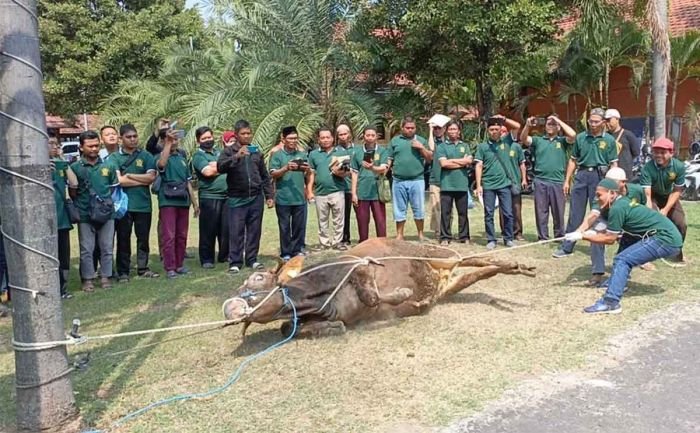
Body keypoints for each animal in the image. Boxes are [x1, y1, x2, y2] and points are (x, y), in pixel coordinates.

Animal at [224, 236, 536, 338]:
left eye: (258, 278)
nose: (229, 306)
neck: (315, 300)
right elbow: (286, 327)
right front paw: (330, 328)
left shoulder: (358, 265)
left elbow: (372, 296)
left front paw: (403, 295)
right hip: (449, 284)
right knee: (482, 272)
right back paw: (513, 267)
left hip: (438, 254)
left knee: (472, 258)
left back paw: (515, 264)